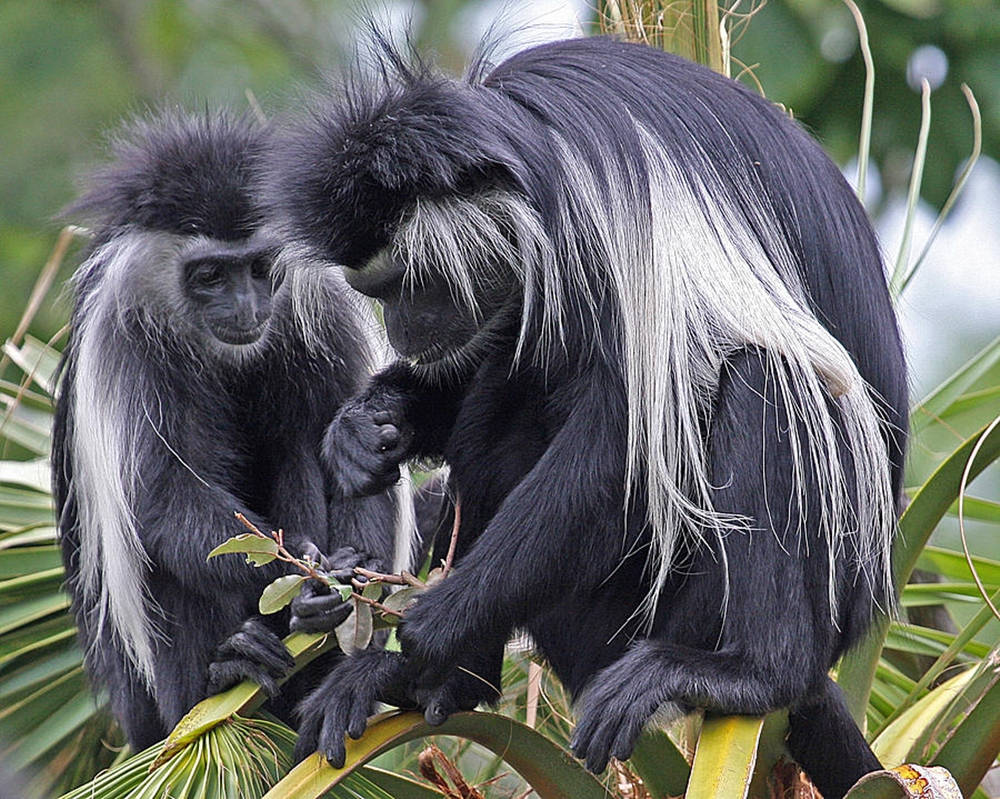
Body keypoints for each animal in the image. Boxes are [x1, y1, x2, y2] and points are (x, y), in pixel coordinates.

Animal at [52, 109, 412, 752]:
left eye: (259, 268)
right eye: (210, 275)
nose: (246, 310)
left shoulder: (320, 305)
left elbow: (358, 459)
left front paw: (349, 568)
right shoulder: (124, 340)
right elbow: (161, 496)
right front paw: (302, 574)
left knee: (298, 449)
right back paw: (230, 666)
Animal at [270, 37, 912, 799]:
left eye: (409, 282)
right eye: (374, 291)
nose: (403, 333)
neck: (526, 142)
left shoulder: (598, 230)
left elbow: (624, 437)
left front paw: (433, 624)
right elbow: (488, 368)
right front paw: (363, 431)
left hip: (674, 605)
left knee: (767, 380)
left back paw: (745, 673)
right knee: (506, 396)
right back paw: (441, 682)